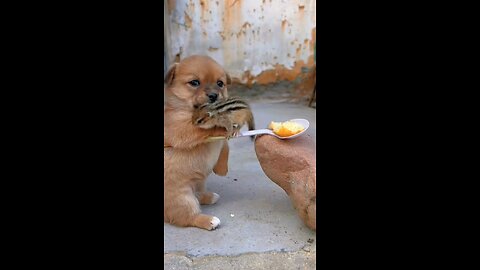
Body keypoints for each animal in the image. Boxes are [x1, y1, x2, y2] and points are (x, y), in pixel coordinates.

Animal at [163, 54, 234, 230]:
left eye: (220, 83)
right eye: (194, 82)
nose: (214, 95)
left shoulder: (221, 143)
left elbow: (225, 146)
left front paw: (222, 168)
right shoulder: (181, 129)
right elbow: (207, 129)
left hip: (200, 181)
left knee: (199, 194)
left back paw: (209, 196)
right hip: (183, 198)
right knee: (187, 217)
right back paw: (208, 220)